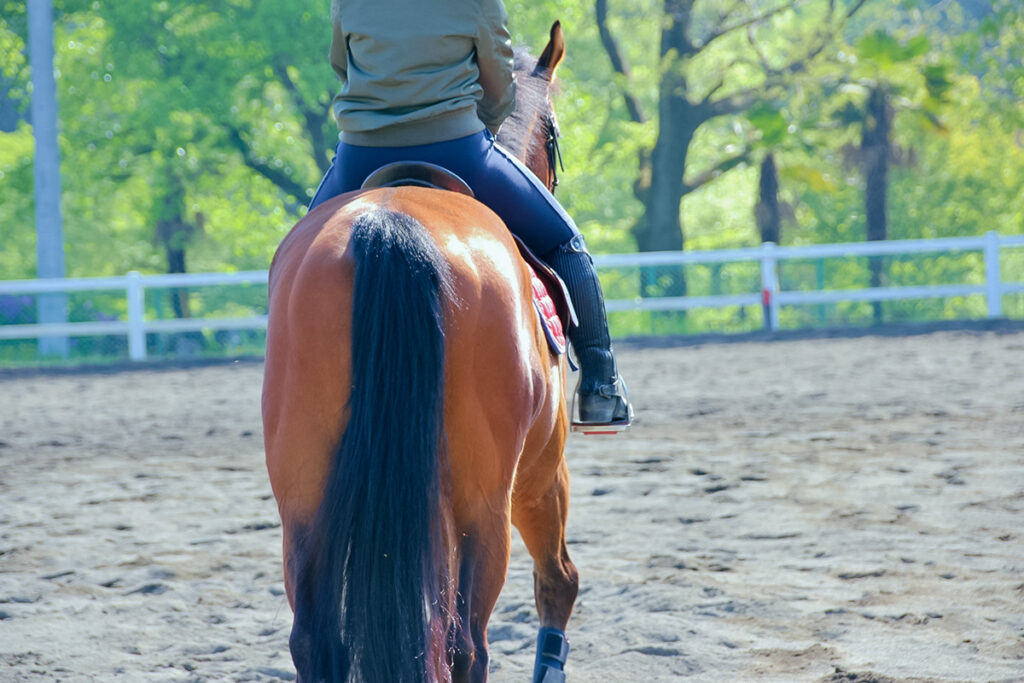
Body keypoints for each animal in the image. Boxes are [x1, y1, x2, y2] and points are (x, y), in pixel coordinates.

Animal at [264, 22, 581, 683]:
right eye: (555, 134)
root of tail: (391, 223)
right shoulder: (541, 468)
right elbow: (558, 580)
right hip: (487, 503)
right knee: (468, 641)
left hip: (304, 499)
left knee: (315, 640)